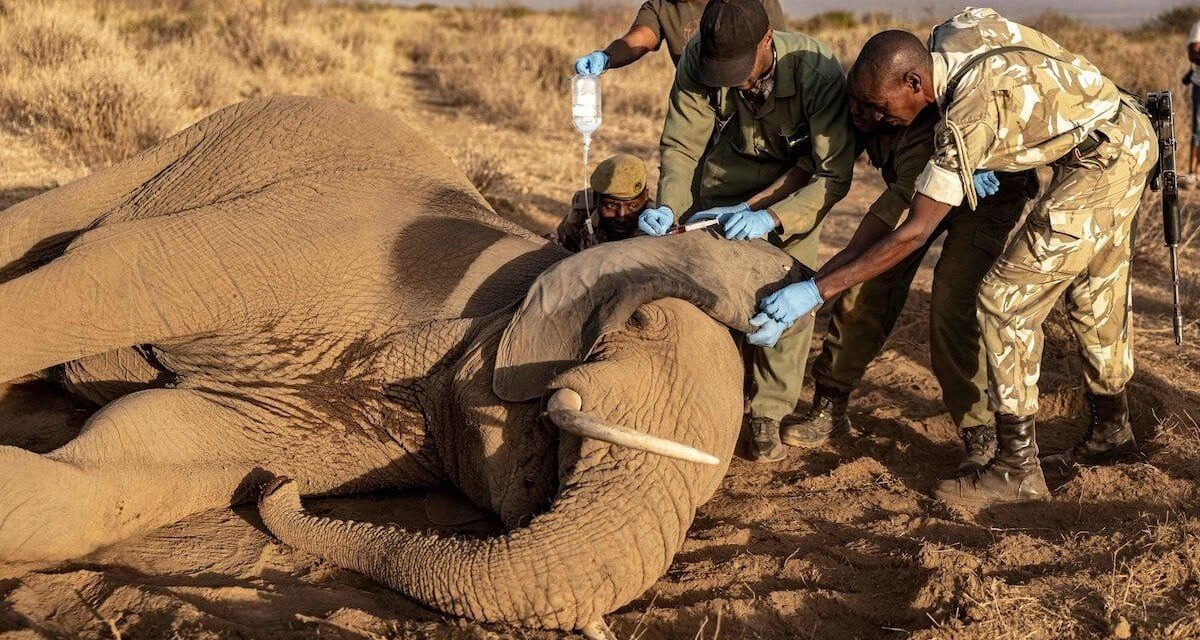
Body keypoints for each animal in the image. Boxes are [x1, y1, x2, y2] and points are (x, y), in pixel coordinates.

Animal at [0, 96, 813, 637]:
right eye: (639, 323)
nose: (283, 492)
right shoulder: (326, 247)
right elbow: (114, 275)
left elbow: (144, 447)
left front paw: (258, 478)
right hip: (191, 147)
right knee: (51, 228)